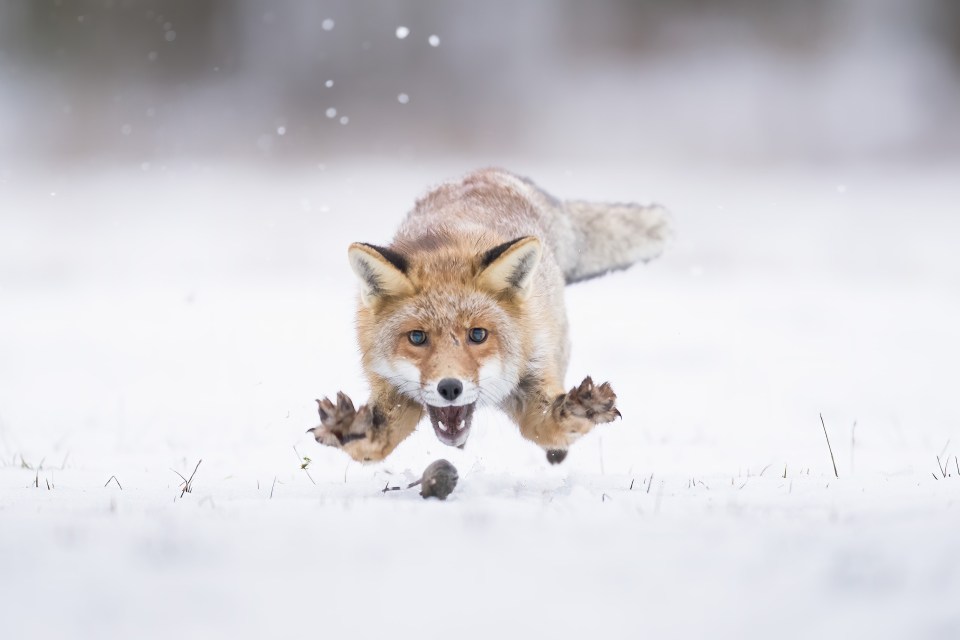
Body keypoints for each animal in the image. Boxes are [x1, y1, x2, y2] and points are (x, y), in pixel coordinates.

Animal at [310, 168, 668, 462]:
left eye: (478, 335)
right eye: (417, 337)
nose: (449, 388)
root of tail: (492, 172)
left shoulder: (531, 375)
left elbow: (550, 426)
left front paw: (579, 411)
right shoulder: (390, 386)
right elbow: (375, 441)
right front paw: (350, 428)